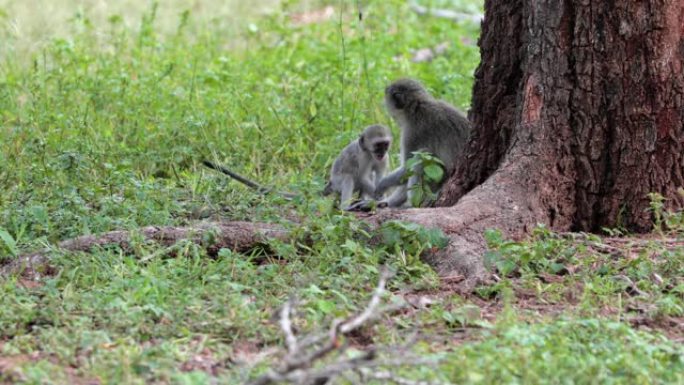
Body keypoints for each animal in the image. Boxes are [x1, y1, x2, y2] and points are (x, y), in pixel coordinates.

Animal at [374, 77, 470, 207]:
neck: (417, 105)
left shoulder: (412, 132)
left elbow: (407, 168)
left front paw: (381, 185)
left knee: (421, 156)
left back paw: (413, 205)